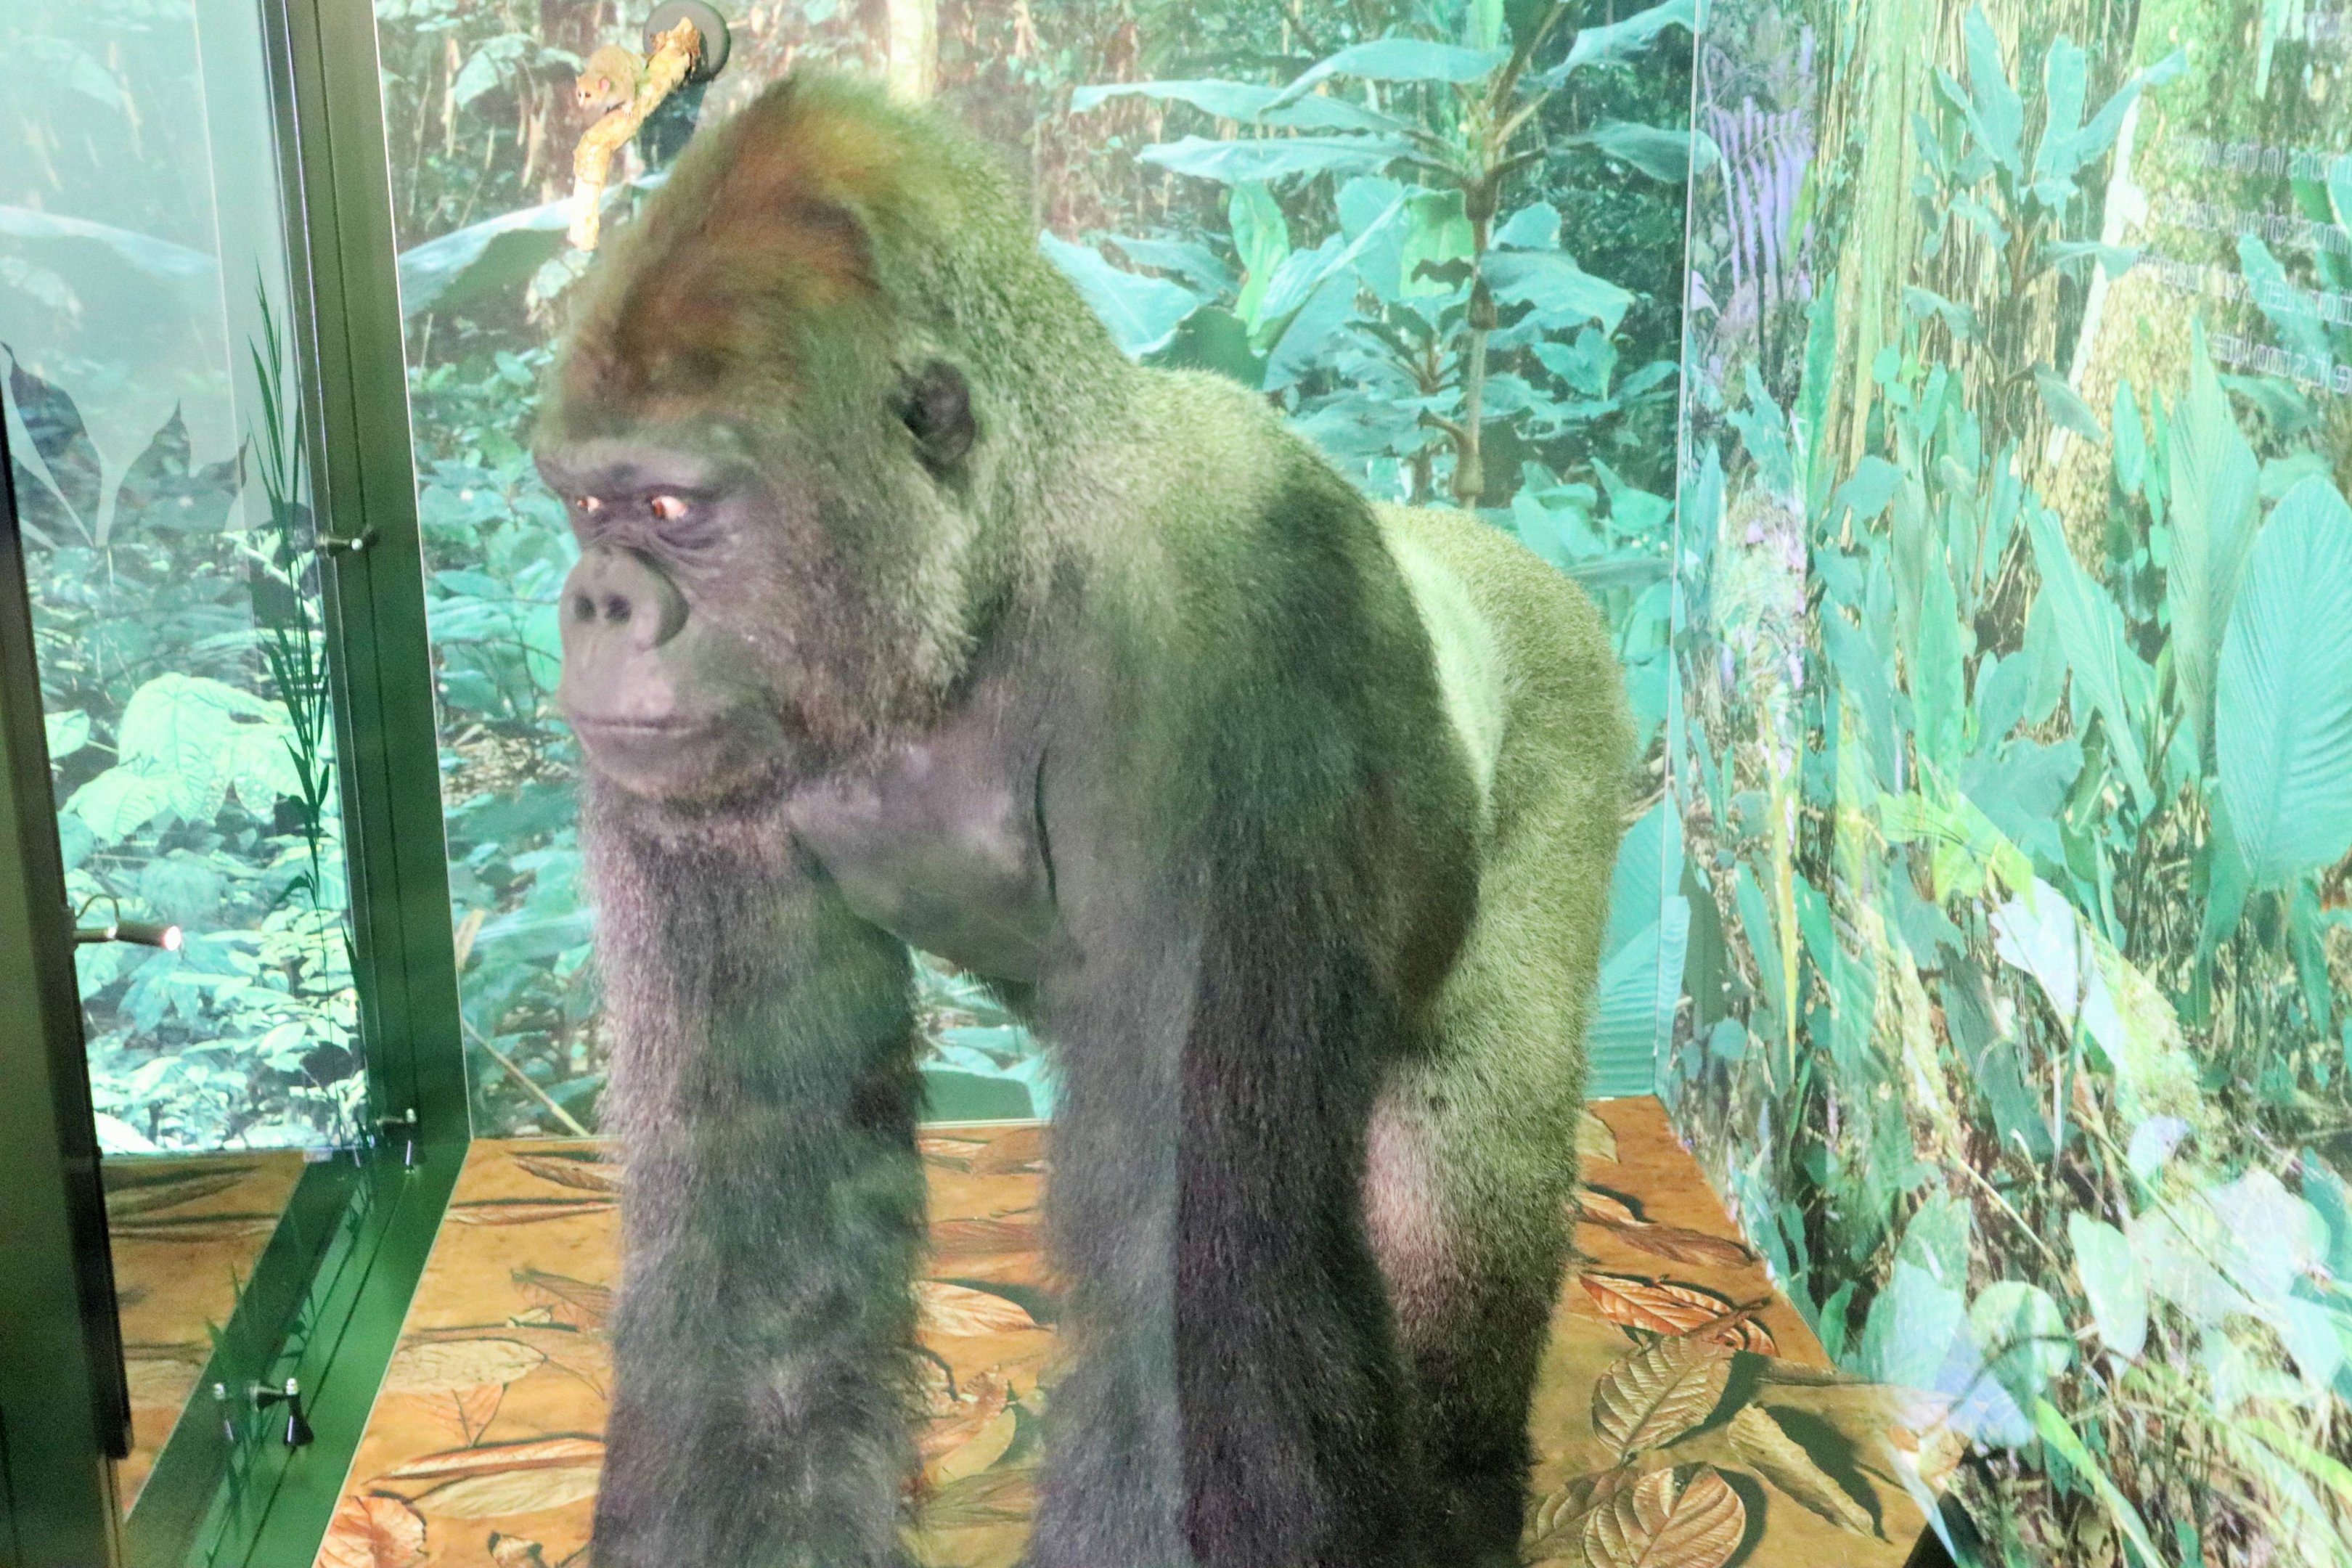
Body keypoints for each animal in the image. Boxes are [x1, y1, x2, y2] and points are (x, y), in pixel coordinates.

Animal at [533, 69, 1629, 1568]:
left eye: (669, 505)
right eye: (585, 504)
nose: (594, 603)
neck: (1001, 561)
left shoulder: (1232, 650)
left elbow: (1206, 1295)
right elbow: (762, 1253)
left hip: (1569, 699)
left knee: (1469, 1158)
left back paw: (1461, 1490)